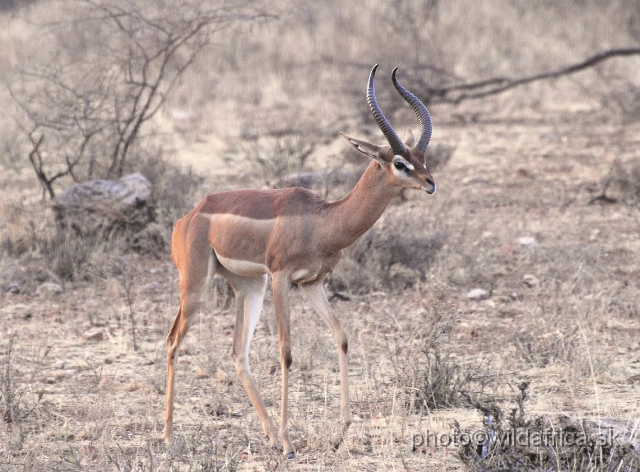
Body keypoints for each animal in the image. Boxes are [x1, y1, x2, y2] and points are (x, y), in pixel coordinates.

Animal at [162, 64, 438, 456]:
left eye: (422, 158)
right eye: (400, 163)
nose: (430, 183)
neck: (323, 221)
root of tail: (189, 216)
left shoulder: (312, 283)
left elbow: (341, 336)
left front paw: (340, 432)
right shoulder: (282, 278)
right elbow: (287, 351)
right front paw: (290, 441)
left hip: (251, 287)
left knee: (238, 353)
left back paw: (268, 434)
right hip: (198, 287)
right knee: (173, 341)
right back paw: (170, 436)